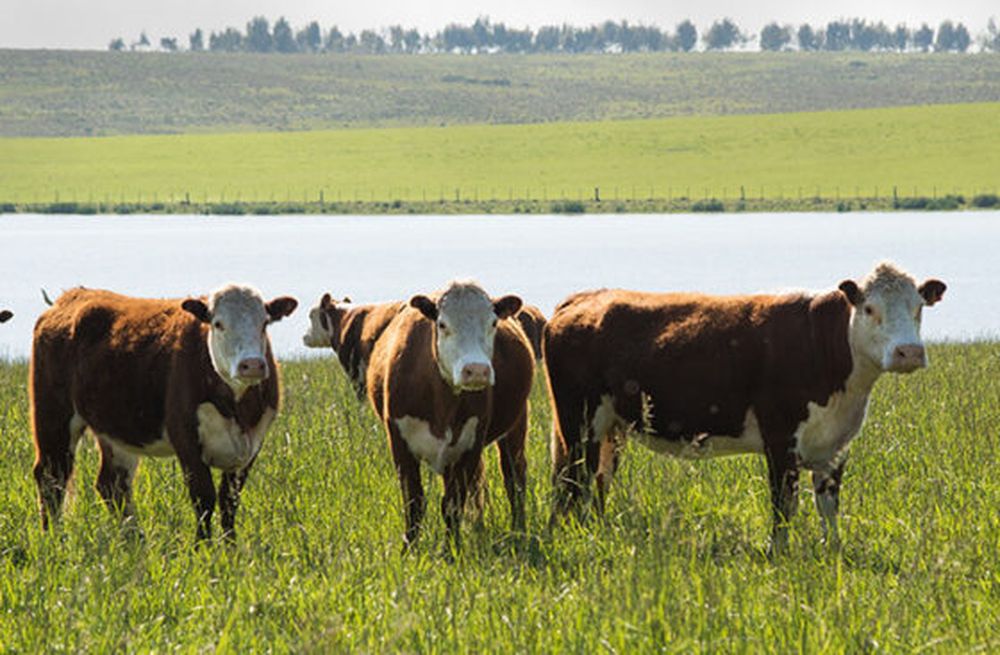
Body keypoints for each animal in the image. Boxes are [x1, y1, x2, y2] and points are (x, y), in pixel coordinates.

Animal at [29, 284, 297, 542]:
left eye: (264, 323)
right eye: (218, 324)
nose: (251, 364)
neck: (236, 407)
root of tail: (70, 296)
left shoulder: (251, 444)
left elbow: (229, 503)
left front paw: (231, 548)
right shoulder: (186, 438)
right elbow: (204, 498)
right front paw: (203, 548)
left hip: (117, 429)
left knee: (113, 484)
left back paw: (134, 540)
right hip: (53, 416)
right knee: (52, 476)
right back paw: (52, 538)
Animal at [367, 281, 535, 550]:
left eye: (493, 323)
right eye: (443, 324)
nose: (476, 370)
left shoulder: (470, 444)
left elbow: (453, 505)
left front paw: (452, 550)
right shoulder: (399, 442)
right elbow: (414, 502)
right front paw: (409, 550)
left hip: (517, 424)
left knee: (514, 477)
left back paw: (518, 530)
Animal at [544, 262, 946, 554]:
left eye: (919, 308)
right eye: (869, 308)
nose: (909, 352)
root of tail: (583, 299)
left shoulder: (837, 445)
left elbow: (829, 504)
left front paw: (833, 549)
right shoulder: (780, 437)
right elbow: (783, 504)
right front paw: (779, 553)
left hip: (610, 426)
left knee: (598, 479)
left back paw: (595, 531)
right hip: (579, 422)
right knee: (575, 481)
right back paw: (577, 537)